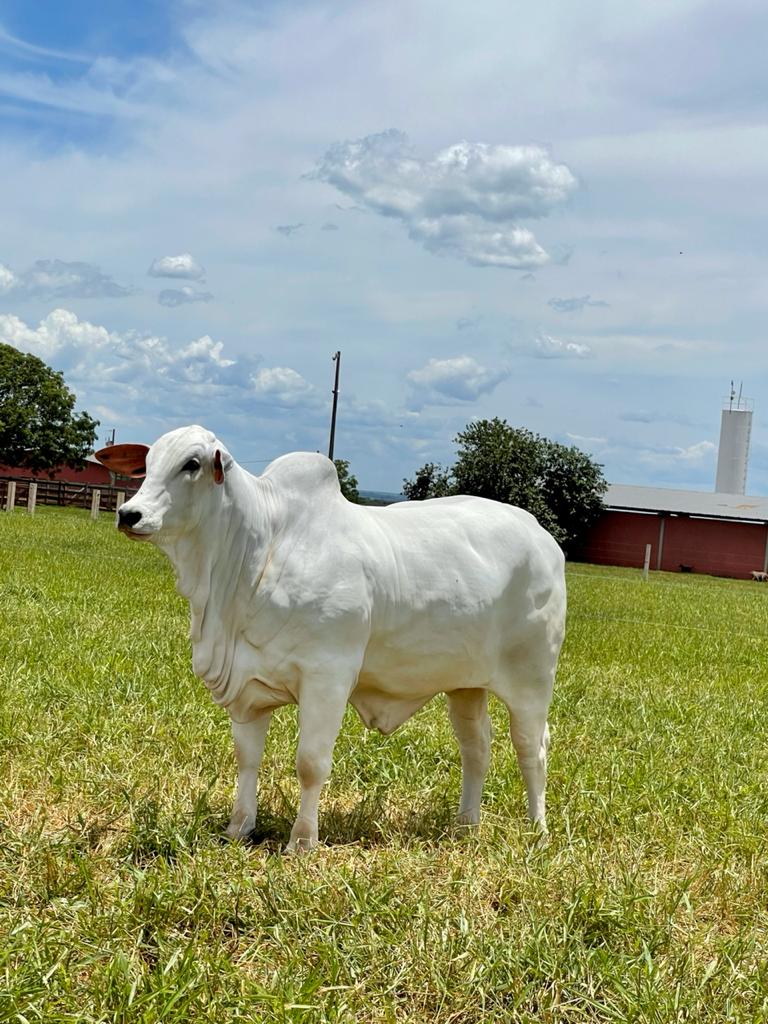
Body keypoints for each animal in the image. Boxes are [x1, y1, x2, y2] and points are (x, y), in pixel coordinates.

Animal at [96, 423, 569, 847]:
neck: (255, 553)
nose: (129, 513)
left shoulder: (328, 678)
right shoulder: (247, 689)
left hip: (532, 677)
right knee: (477, 747)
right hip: (466, 683)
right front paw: (238, 829)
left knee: (531, 748)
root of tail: (541, 535)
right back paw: (466, 826)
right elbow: (247, 760)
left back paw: (538, 832)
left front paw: (302, 841)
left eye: (191, 464)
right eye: (147, 465)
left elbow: (311, 763)